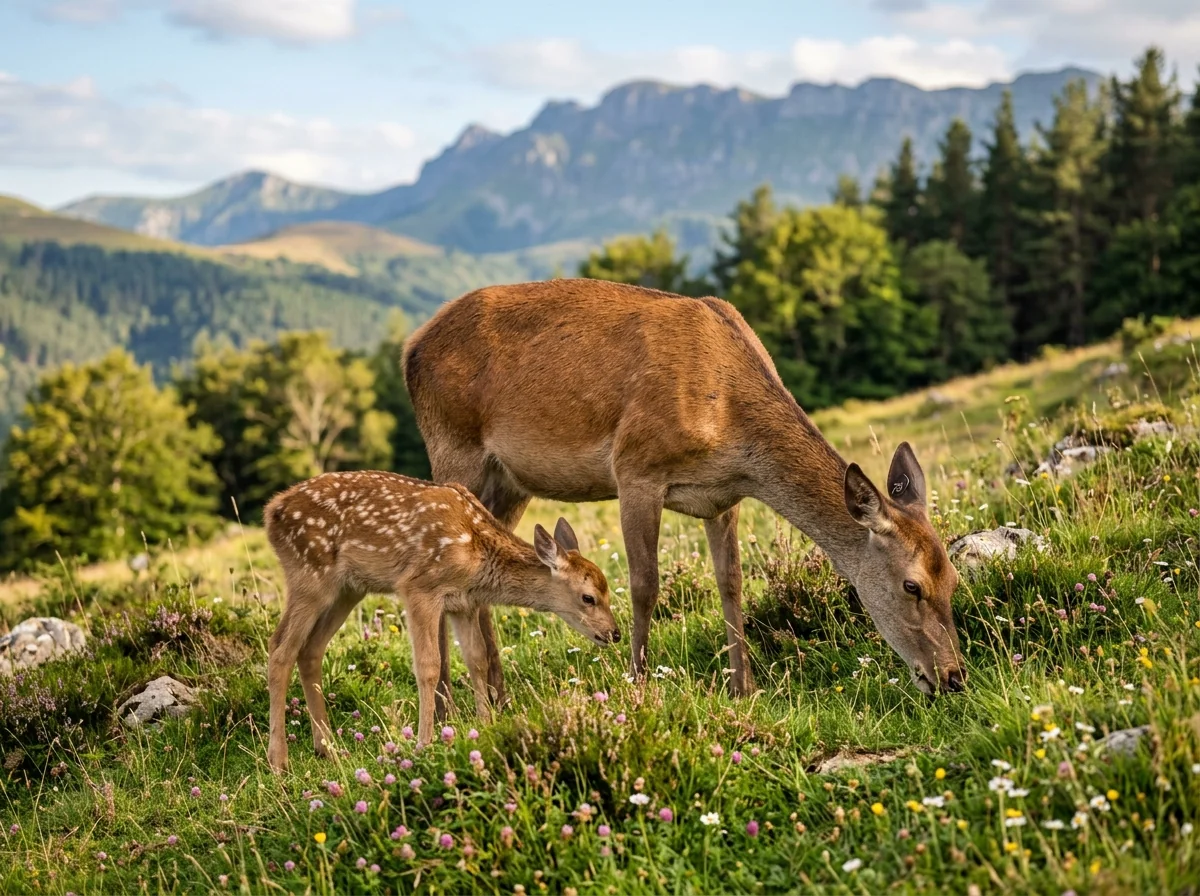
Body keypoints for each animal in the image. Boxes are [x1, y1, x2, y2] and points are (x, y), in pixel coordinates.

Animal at [262, 468, 620, 773]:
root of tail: (271, 511)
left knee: (310, 650)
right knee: (280, 648)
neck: (477, 553)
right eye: (588, 597)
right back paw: (279, 761)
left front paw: (485, 724)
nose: (614, 633)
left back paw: (328, 749)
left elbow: (477, 659)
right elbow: (429, 666)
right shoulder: (419, 588)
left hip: (348, 588)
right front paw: (423, 744)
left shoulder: (464, 603)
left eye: (606, 590)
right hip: (309, 573)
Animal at [401, 278, 965, 706]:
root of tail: (410, 349)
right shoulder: (635, 468)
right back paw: (451, 706)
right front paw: (638, 685)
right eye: (912, 585)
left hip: (509, 481)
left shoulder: (724, 497)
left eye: (954, 578)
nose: (953, 676)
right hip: (453, 449)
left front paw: (744, 687)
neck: (729, 422)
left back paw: (496, 697)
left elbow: (731, 583)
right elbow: (645, 584)